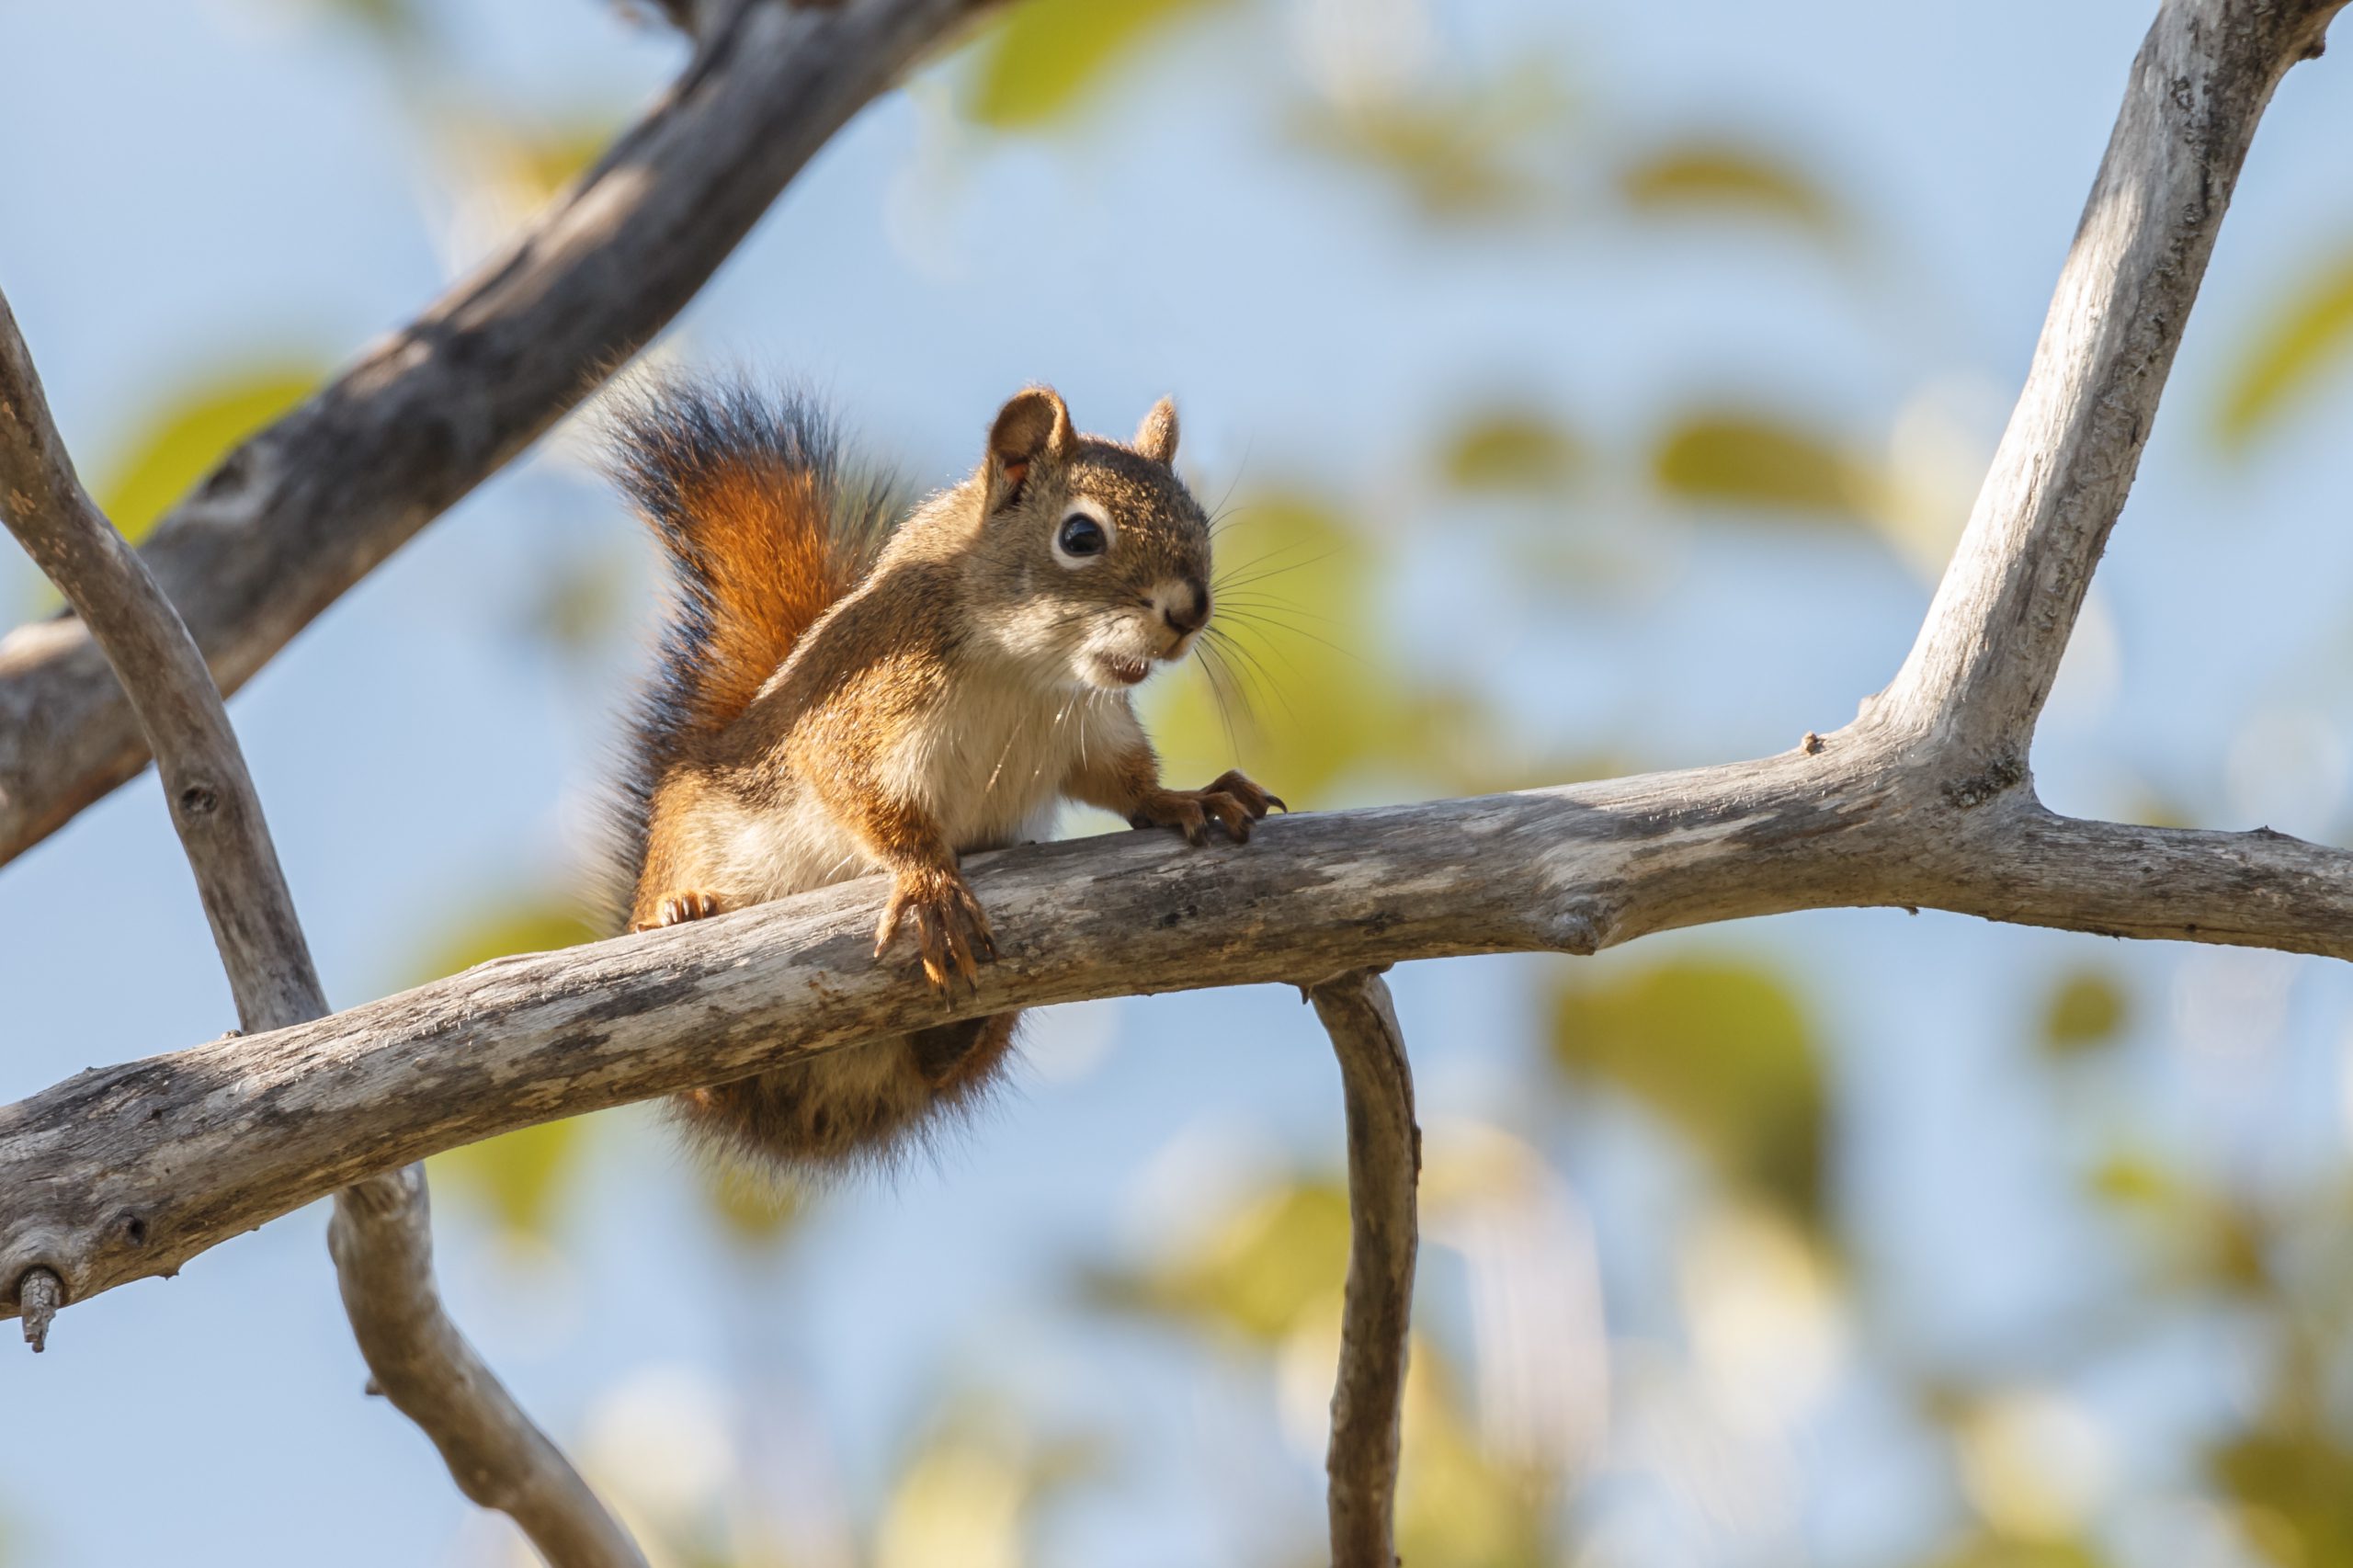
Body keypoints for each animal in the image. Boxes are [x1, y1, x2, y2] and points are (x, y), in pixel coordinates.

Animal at [597, 376, 1279, 1172]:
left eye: (1198, 519)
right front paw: (929, 885)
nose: (1191, 610)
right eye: (1081, 537)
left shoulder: (1089, 729)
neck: (1022, 672)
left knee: (937, 1067)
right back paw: (682, 910)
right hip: (687, 831)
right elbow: (868, 800)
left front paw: (1187, 798)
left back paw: (957, 1034)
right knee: (705, 1082)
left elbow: (1126, 781)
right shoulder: (860, 716)